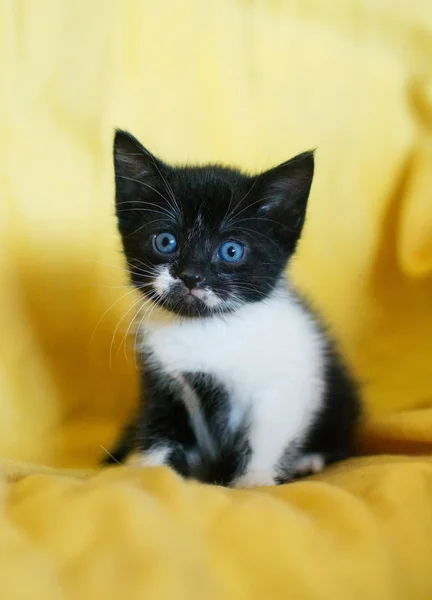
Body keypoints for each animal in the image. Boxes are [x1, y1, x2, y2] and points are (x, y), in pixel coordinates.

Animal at [105, 127, 362, 488]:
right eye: (166, 241)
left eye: (231, 251)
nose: (191, 276)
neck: (205, 330)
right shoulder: (161, 384)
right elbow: (160, 431)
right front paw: (151, 473)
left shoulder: (289, 380)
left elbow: (267, 434)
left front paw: (253, 481)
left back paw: (308, 460)